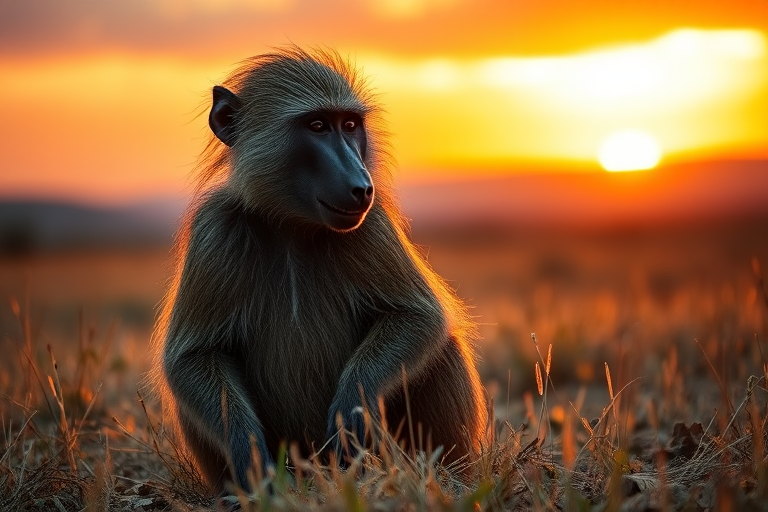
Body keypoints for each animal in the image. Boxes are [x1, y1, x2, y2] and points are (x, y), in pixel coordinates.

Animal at [154, 46, 489, 493]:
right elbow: (192, 355)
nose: (361, 187)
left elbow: (419, 318)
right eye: (316, 126)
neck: (292, 226)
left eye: (349, 125)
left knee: (441, 346)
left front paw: (352, 410)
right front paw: (251, 459)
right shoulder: (214, 226)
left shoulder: (371, 221)